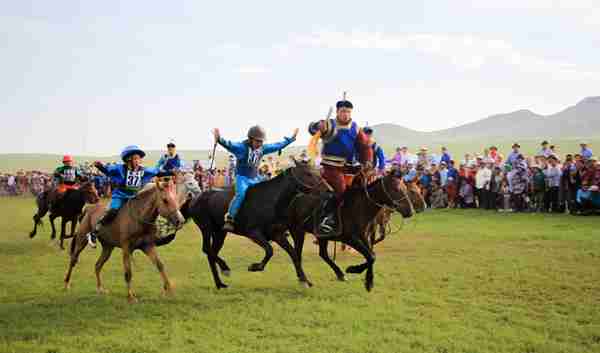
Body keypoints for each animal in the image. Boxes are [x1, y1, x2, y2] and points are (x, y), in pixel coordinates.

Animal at [185, 161, 326, 290]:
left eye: (317, 172)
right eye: (308, 173)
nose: (326, 189)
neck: (272, 200)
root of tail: (195, 198)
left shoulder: (277, 234)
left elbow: (293, 254)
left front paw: (305, 281)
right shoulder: (253, 233)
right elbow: (270, 250)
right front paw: (255, 267)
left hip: (220, 232)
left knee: (211, 253)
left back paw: (220, 283)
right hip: (206, 228)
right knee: (206, 249)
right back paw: (225, 269)